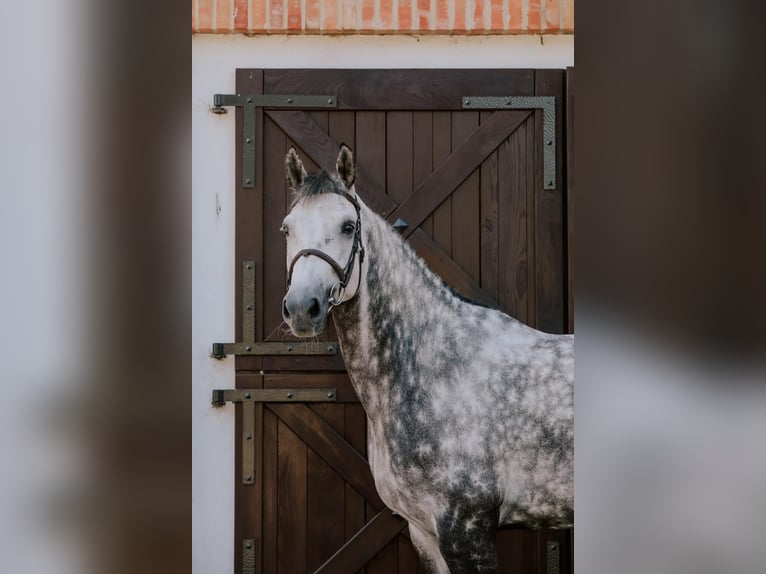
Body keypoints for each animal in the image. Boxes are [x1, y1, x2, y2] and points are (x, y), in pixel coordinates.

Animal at [280, 146, 568, 572]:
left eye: (348, 227)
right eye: (287, 229)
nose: (302, 308)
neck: (439, 367)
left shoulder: (466, 530)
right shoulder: (424, 531)